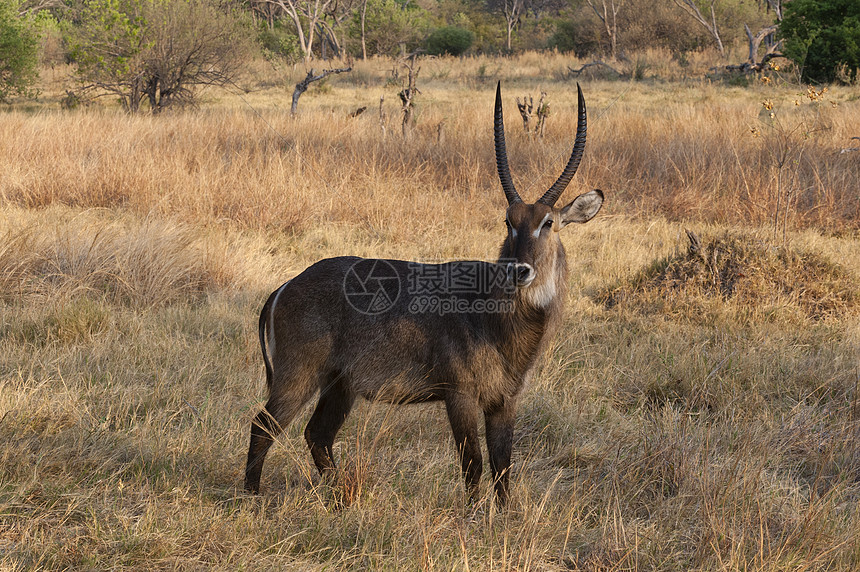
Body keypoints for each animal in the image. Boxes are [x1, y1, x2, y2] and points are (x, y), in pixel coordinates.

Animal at [242, 81, 604, 504]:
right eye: (507, 222)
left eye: (547, 223)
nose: (518, 270)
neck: (500, 321)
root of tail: (283, 287)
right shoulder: (459, 393)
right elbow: (472, 464)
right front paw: (471, 514)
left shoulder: (505, 400)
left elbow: (503, 469)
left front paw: (503, 516)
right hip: (297, 374)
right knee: (263, 426)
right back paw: (252, 497)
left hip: (340, 383)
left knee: (317, 434)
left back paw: (340, 495)